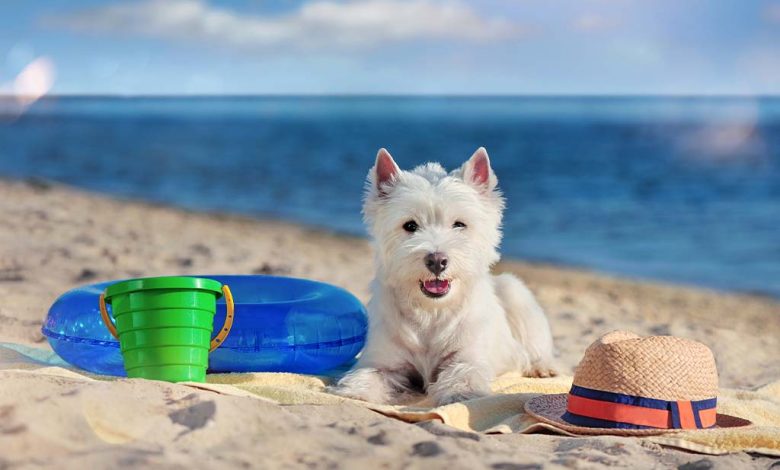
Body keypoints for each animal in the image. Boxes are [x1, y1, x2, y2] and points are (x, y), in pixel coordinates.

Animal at [330, 149, 556, 406]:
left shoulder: (467, 358)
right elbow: (368, 374)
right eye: (410, 225)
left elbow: (462, 374)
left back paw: (542, 368)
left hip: (515, 292)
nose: (437, 261)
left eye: (459, 224)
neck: (431, 312)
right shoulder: (384, 361)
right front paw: (356, 392)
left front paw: (460, 394)